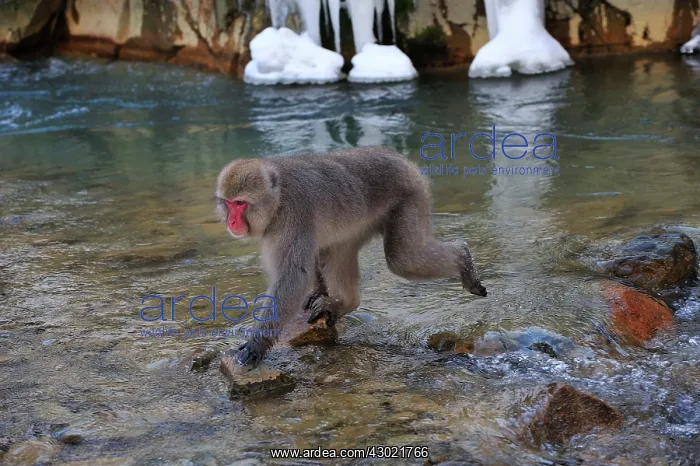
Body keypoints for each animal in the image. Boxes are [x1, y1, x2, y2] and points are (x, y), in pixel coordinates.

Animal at [215, 146, 487, 368]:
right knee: (339, 248)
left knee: (403, 259)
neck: (278, 199)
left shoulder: (291, 219)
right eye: (228, 203)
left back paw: (463, 258)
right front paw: (319, 290)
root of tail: (403, 159)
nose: (231, 221)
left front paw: (257, 345)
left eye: (240, 203)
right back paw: (346, 303)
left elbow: (294, 277)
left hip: (412, 197)